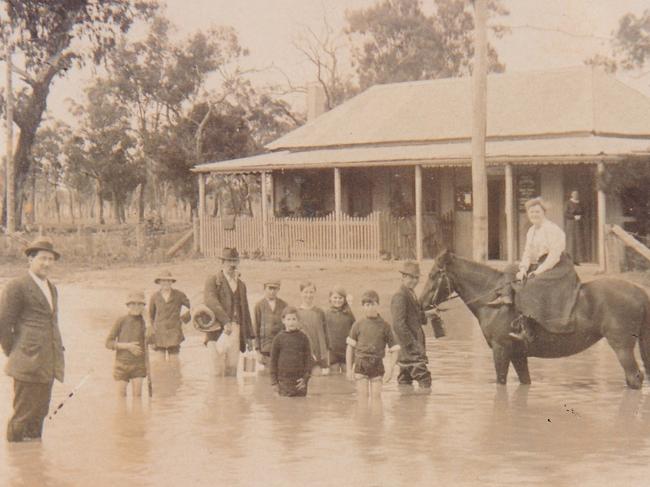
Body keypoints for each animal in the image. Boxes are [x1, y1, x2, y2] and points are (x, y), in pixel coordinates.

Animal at [418, 252, 648, 388]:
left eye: (433, 275)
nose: (421, 304)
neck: (493, 301)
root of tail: (640, 293)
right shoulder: (518, 354)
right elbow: (525, 381)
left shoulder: (501, 350)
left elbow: (500, 382)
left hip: (622, 347)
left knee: (634, 378)